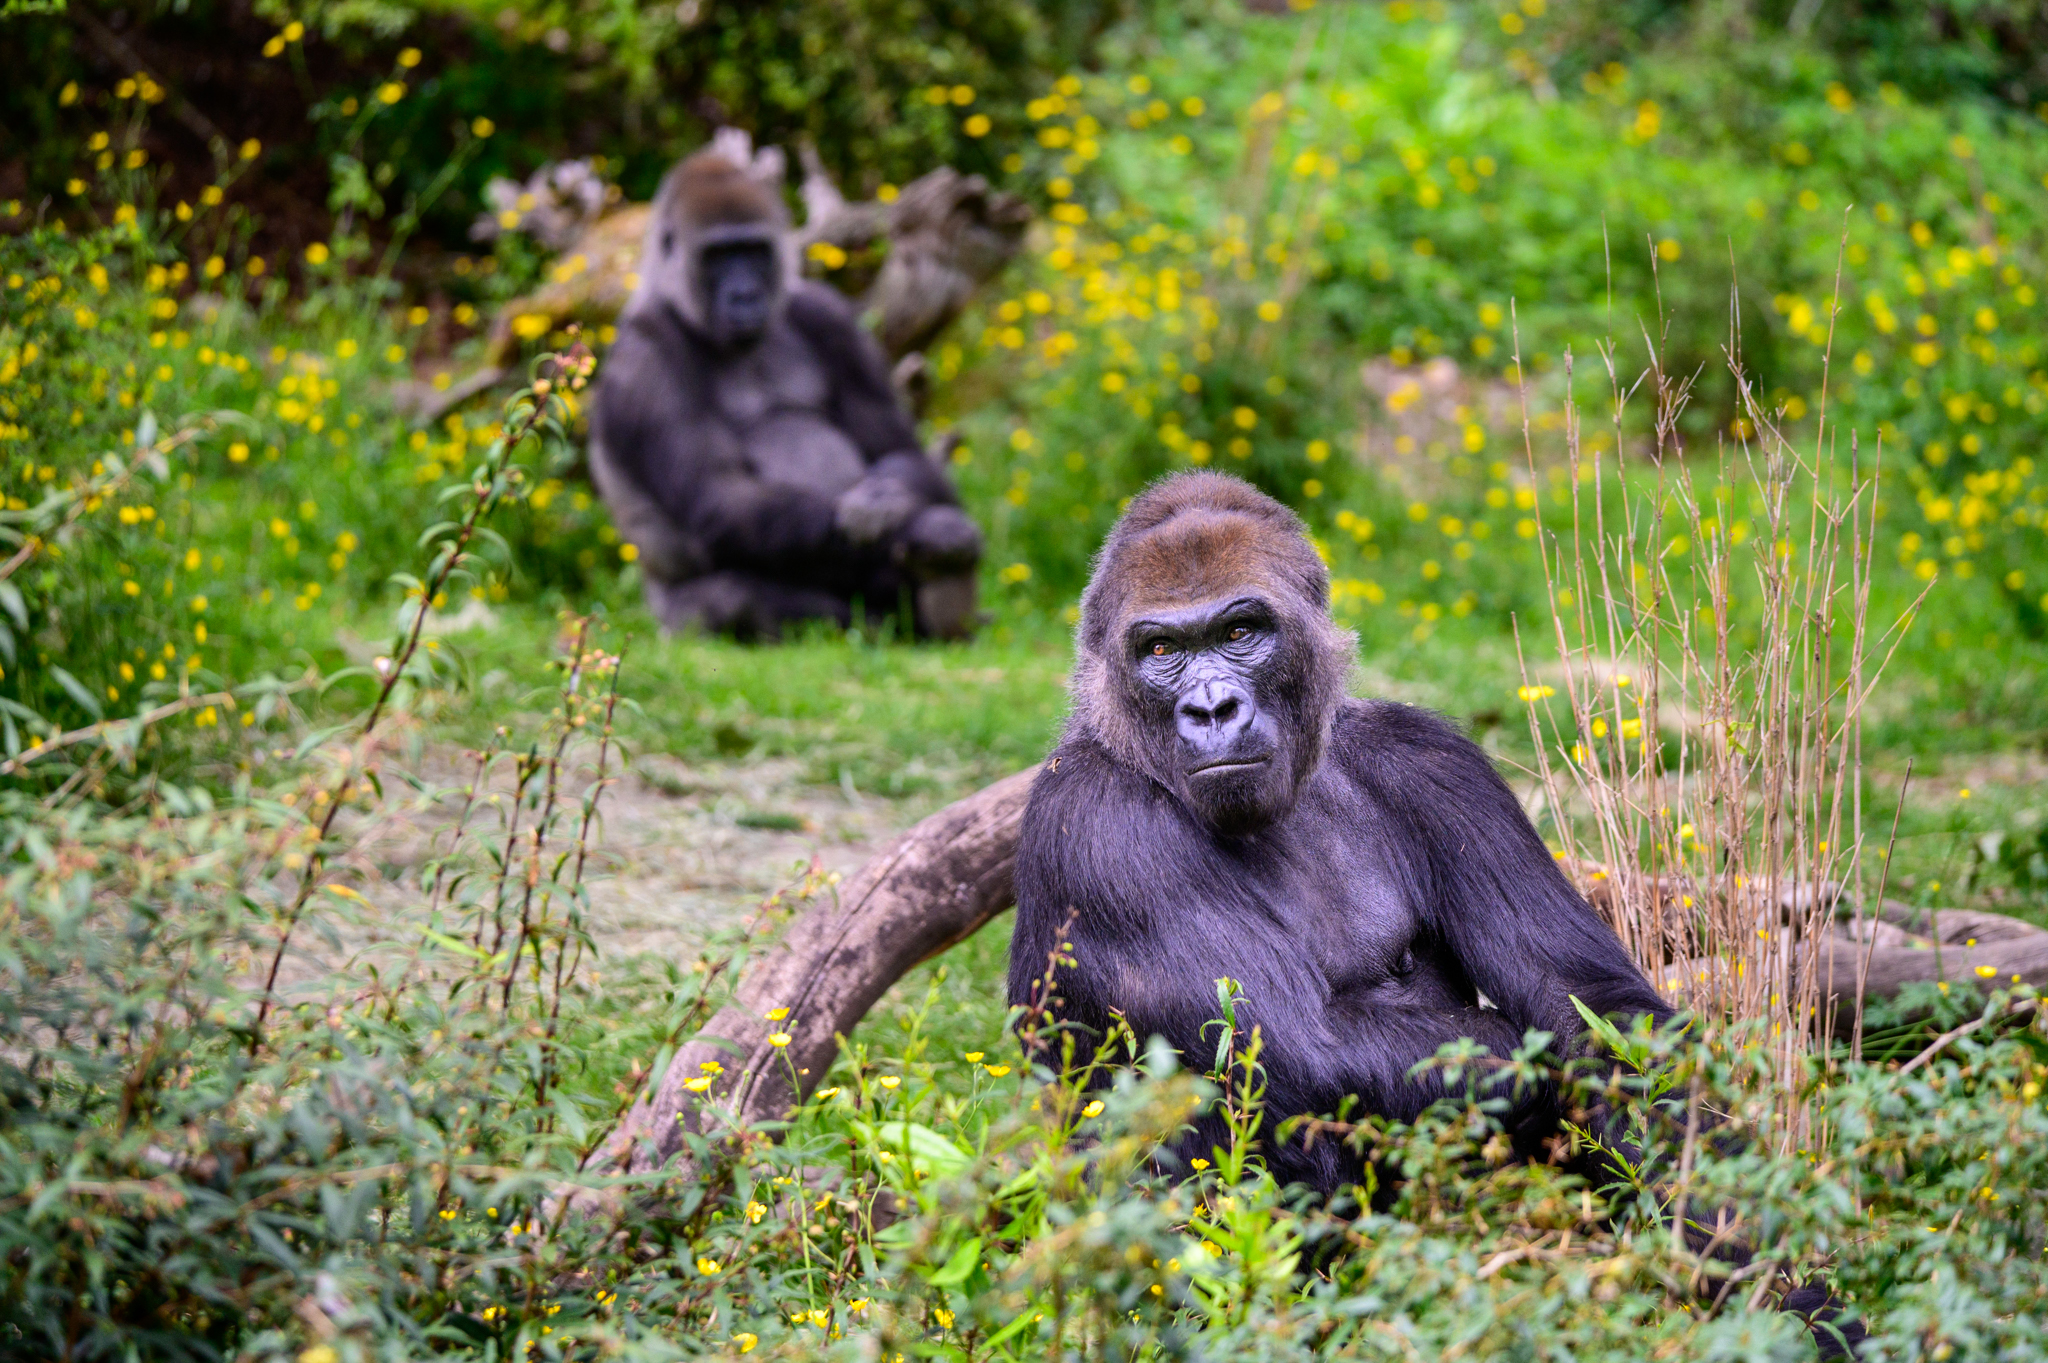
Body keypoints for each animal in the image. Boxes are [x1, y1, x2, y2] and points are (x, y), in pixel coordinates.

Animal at [588, 147, 982, 640]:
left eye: (754, 250)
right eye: (718, 255)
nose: (744, 294)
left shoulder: (830, 318)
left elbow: (900, 451)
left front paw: (892, 500)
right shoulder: (643, 361)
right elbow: (722, 496)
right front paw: (927, 529)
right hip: (672, 620)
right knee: (736, 599)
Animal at [1007, 471, 1862, 1356]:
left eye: (1242, 631)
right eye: (1160, 652)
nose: (1212, 709)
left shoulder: (1430, 758)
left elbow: (1604, 1015)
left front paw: (1782, 1286)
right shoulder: (1098, 822)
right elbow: (1301, 1049)